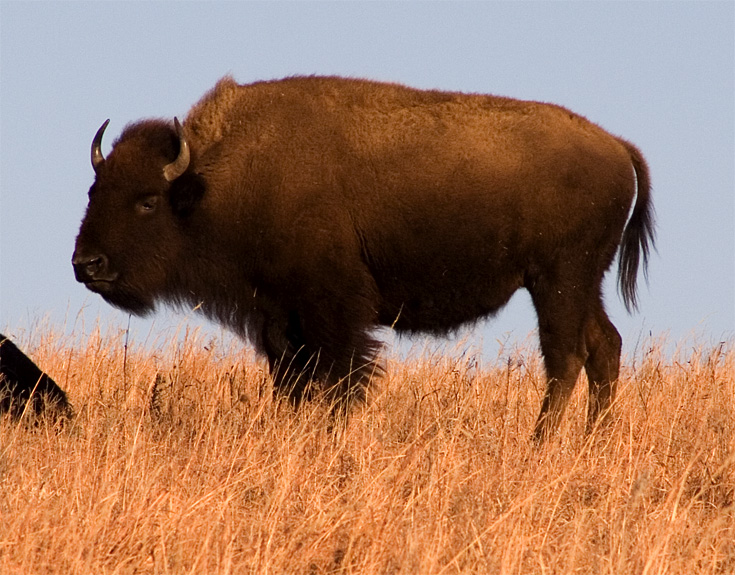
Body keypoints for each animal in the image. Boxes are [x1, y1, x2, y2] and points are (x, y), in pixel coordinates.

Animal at [72, 76, 652, 440]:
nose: (86, 265)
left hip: (558, 280)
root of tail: (617, 146)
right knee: (604, 348)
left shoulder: (333, 309)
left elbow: (342, 378)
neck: (212, 182)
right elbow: (292, 381)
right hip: (581, 284)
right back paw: (593, 442)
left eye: (147, 201)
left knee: (565, 358)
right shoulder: (281, 317)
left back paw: (540, 445)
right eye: (94, 191)